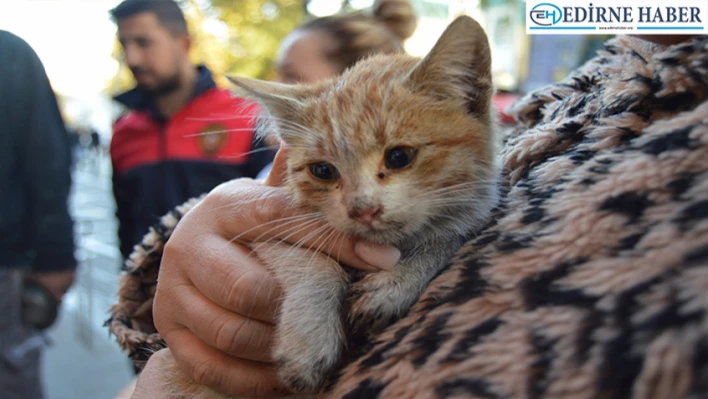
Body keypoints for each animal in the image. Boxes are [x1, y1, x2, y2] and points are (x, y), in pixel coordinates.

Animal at [161, 15, 498, 399]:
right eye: (323, 170)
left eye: (399, 156)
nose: (362, 209)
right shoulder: (269, 229)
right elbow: (314, 263)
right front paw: (308, 340)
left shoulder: (474, 209)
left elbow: (447, 237)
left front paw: (396, 282)